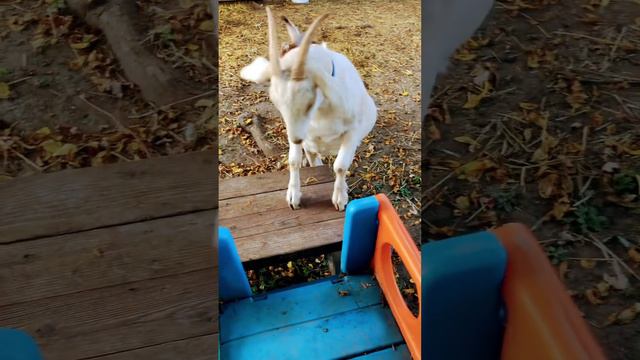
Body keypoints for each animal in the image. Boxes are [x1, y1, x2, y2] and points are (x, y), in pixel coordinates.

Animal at [240, 7, 376, 211]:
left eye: (309, 101)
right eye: (277, 103)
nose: (296, 138)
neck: (321, 112)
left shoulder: (353, 132)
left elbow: (340, 166)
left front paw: (340, 199)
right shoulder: (298, 130)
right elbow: (294, 161)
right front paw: (293, 197)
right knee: (313, 157)